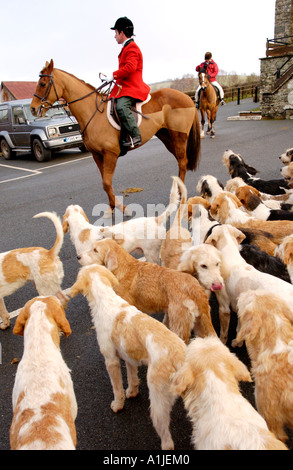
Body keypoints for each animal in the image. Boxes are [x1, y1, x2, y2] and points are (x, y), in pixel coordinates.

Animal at [30, 59, 200, 218]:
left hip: (179, 136)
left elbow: (106, 183)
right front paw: (112, 208)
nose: (33, 108)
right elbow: (106, 184)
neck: (92, 112)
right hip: (166, 137)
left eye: (43, 83)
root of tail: (186, 97)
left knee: (182, 162)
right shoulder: (97, 155)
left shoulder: (110, 153)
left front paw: (123, 209)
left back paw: (181, 196)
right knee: (180, 161)